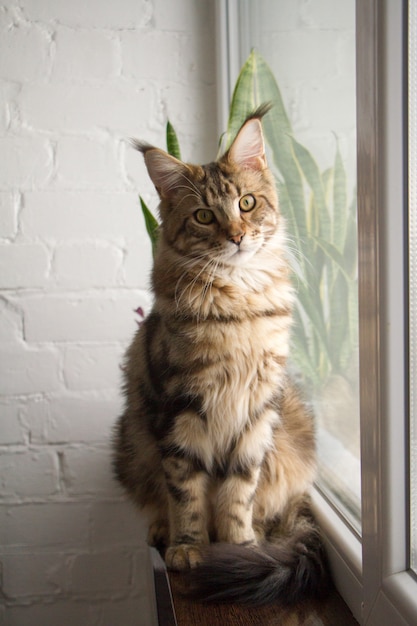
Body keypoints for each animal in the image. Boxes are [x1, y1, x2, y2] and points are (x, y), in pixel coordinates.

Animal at [113, 105, 328, 604]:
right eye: (204, 216)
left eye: (247, 204)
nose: (237, 236)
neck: (238, 309)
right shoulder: (179, 408)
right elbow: (186, 490)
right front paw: (189, 546)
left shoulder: (258, 409)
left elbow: (238, 491)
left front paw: (239, 546)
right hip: (130, 441)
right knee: (157, 497)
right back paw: (162, 531)